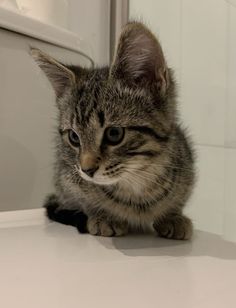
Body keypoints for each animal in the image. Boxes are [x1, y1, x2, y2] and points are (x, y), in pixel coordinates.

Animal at [30, 21, 195, 239]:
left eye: (114, 134)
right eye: (74, 137)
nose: (87, 170)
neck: (137, 182)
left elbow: (179, 199)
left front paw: (173, 216)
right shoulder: (67, 178)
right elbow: (85, 200)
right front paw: (104, 216)